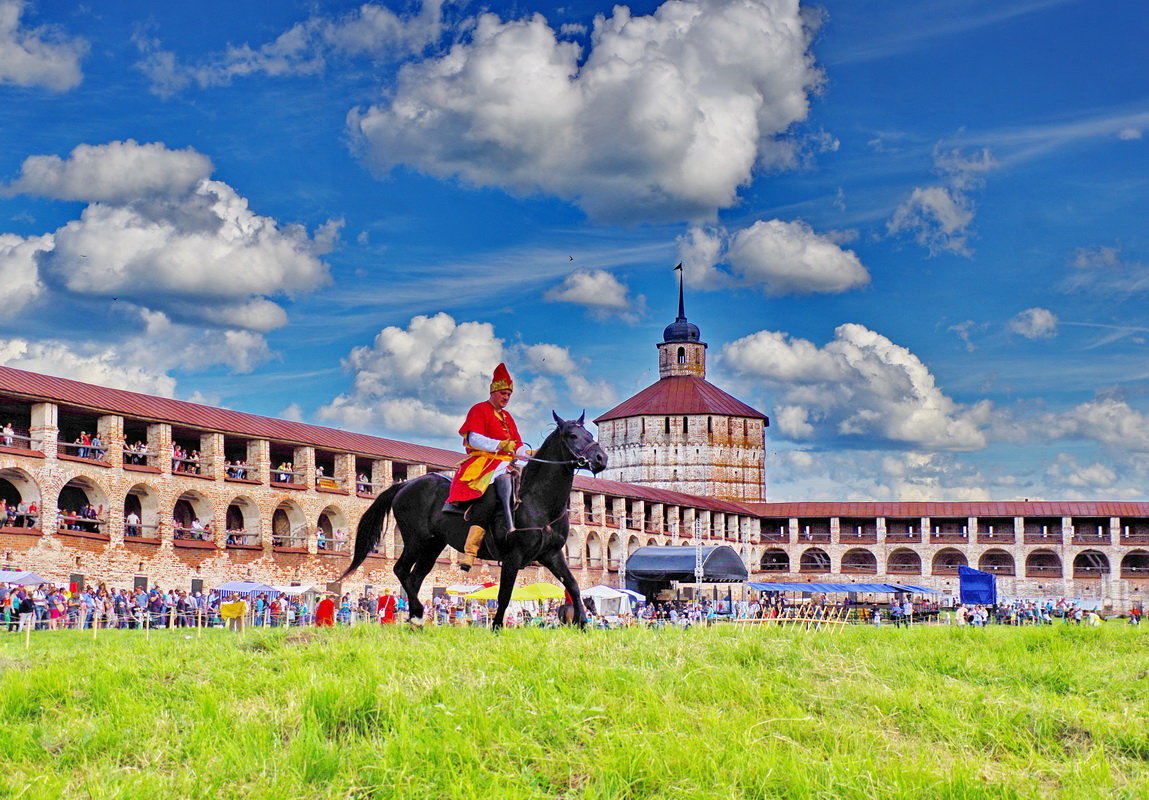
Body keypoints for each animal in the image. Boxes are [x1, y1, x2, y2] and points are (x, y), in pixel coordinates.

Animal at [340, 411, 611, 629]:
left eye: (588, 433)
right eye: (572, 436)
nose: (601, 458)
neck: (537, 500)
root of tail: (405, 485)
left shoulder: (551, 555)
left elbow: (573, 584)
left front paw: (582, 624)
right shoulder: (513, 557)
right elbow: (504, 595)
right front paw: (497, 627)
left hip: (432, 545)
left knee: (414, 578)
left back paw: (416, 619)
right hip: (415, 540)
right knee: (401, 570)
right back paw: (416, 613)